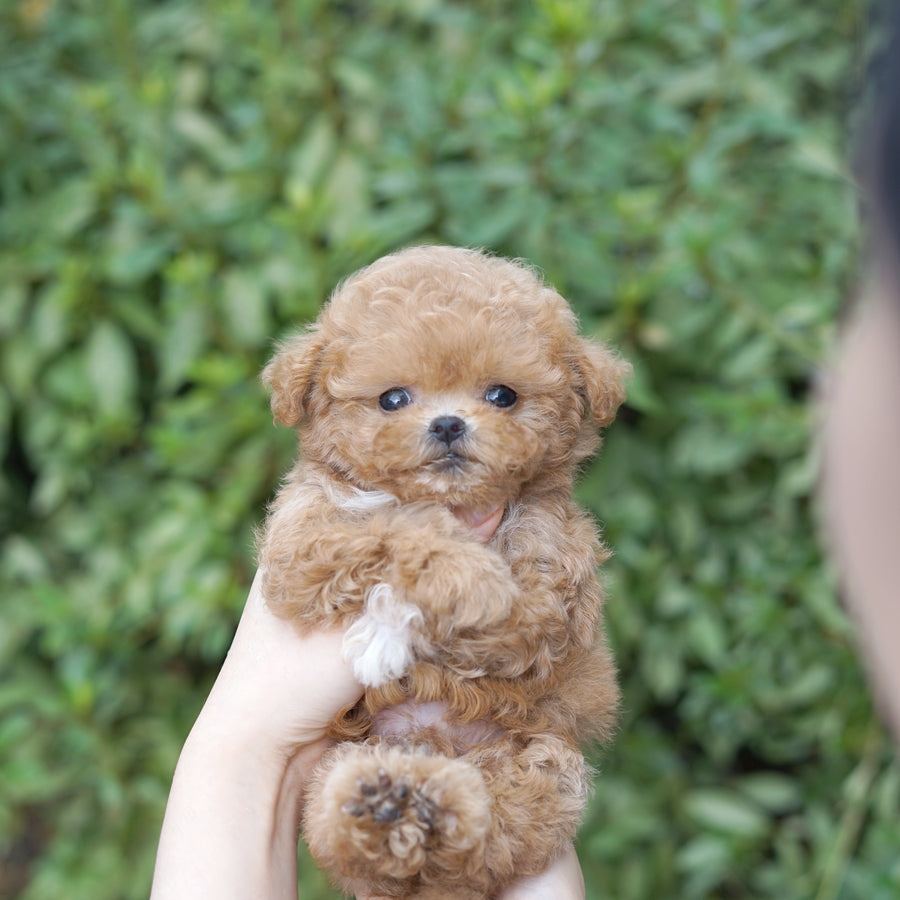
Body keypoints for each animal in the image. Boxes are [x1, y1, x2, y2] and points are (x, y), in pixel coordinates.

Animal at [256, 246, 628, 900]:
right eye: (392, 399)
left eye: (503, 395)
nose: (450, 423)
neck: (451, 503)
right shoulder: (300, 543)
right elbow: (394, 529)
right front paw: (458, 578)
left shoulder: (550, 587)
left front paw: (396, 628)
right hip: (338, 766)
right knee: (337, 827)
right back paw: (385, 811)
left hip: (547, 765)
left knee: (498, 824)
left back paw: (427, 807)